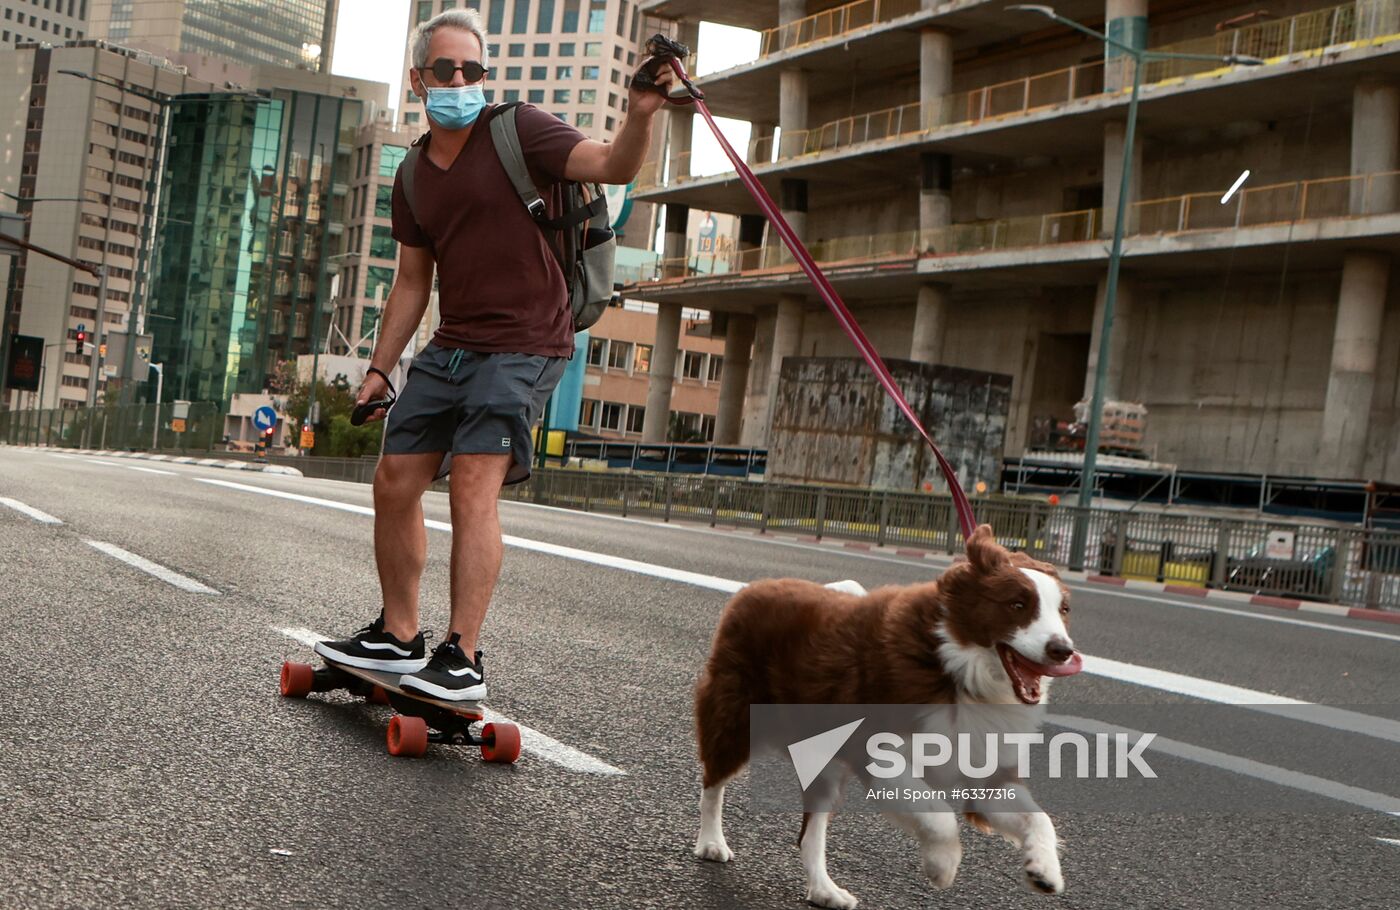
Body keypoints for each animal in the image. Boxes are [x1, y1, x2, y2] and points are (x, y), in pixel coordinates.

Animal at [694, 520, 1086, 901]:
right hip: (736, 718)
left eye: (1064, 610)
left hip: (822, 759)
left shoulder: (987, 771)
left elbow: (1039, 819)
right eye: (1017, 604)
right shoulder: (874, 751)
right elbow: (939, 815)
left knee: (809, 833)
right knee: (713, 781)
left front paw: (1044, 870)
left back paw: (824, 891)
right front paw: (942, 865)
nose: (1063, 651)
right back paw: (711, 842)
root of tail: (755, 587)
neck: (956, 669)